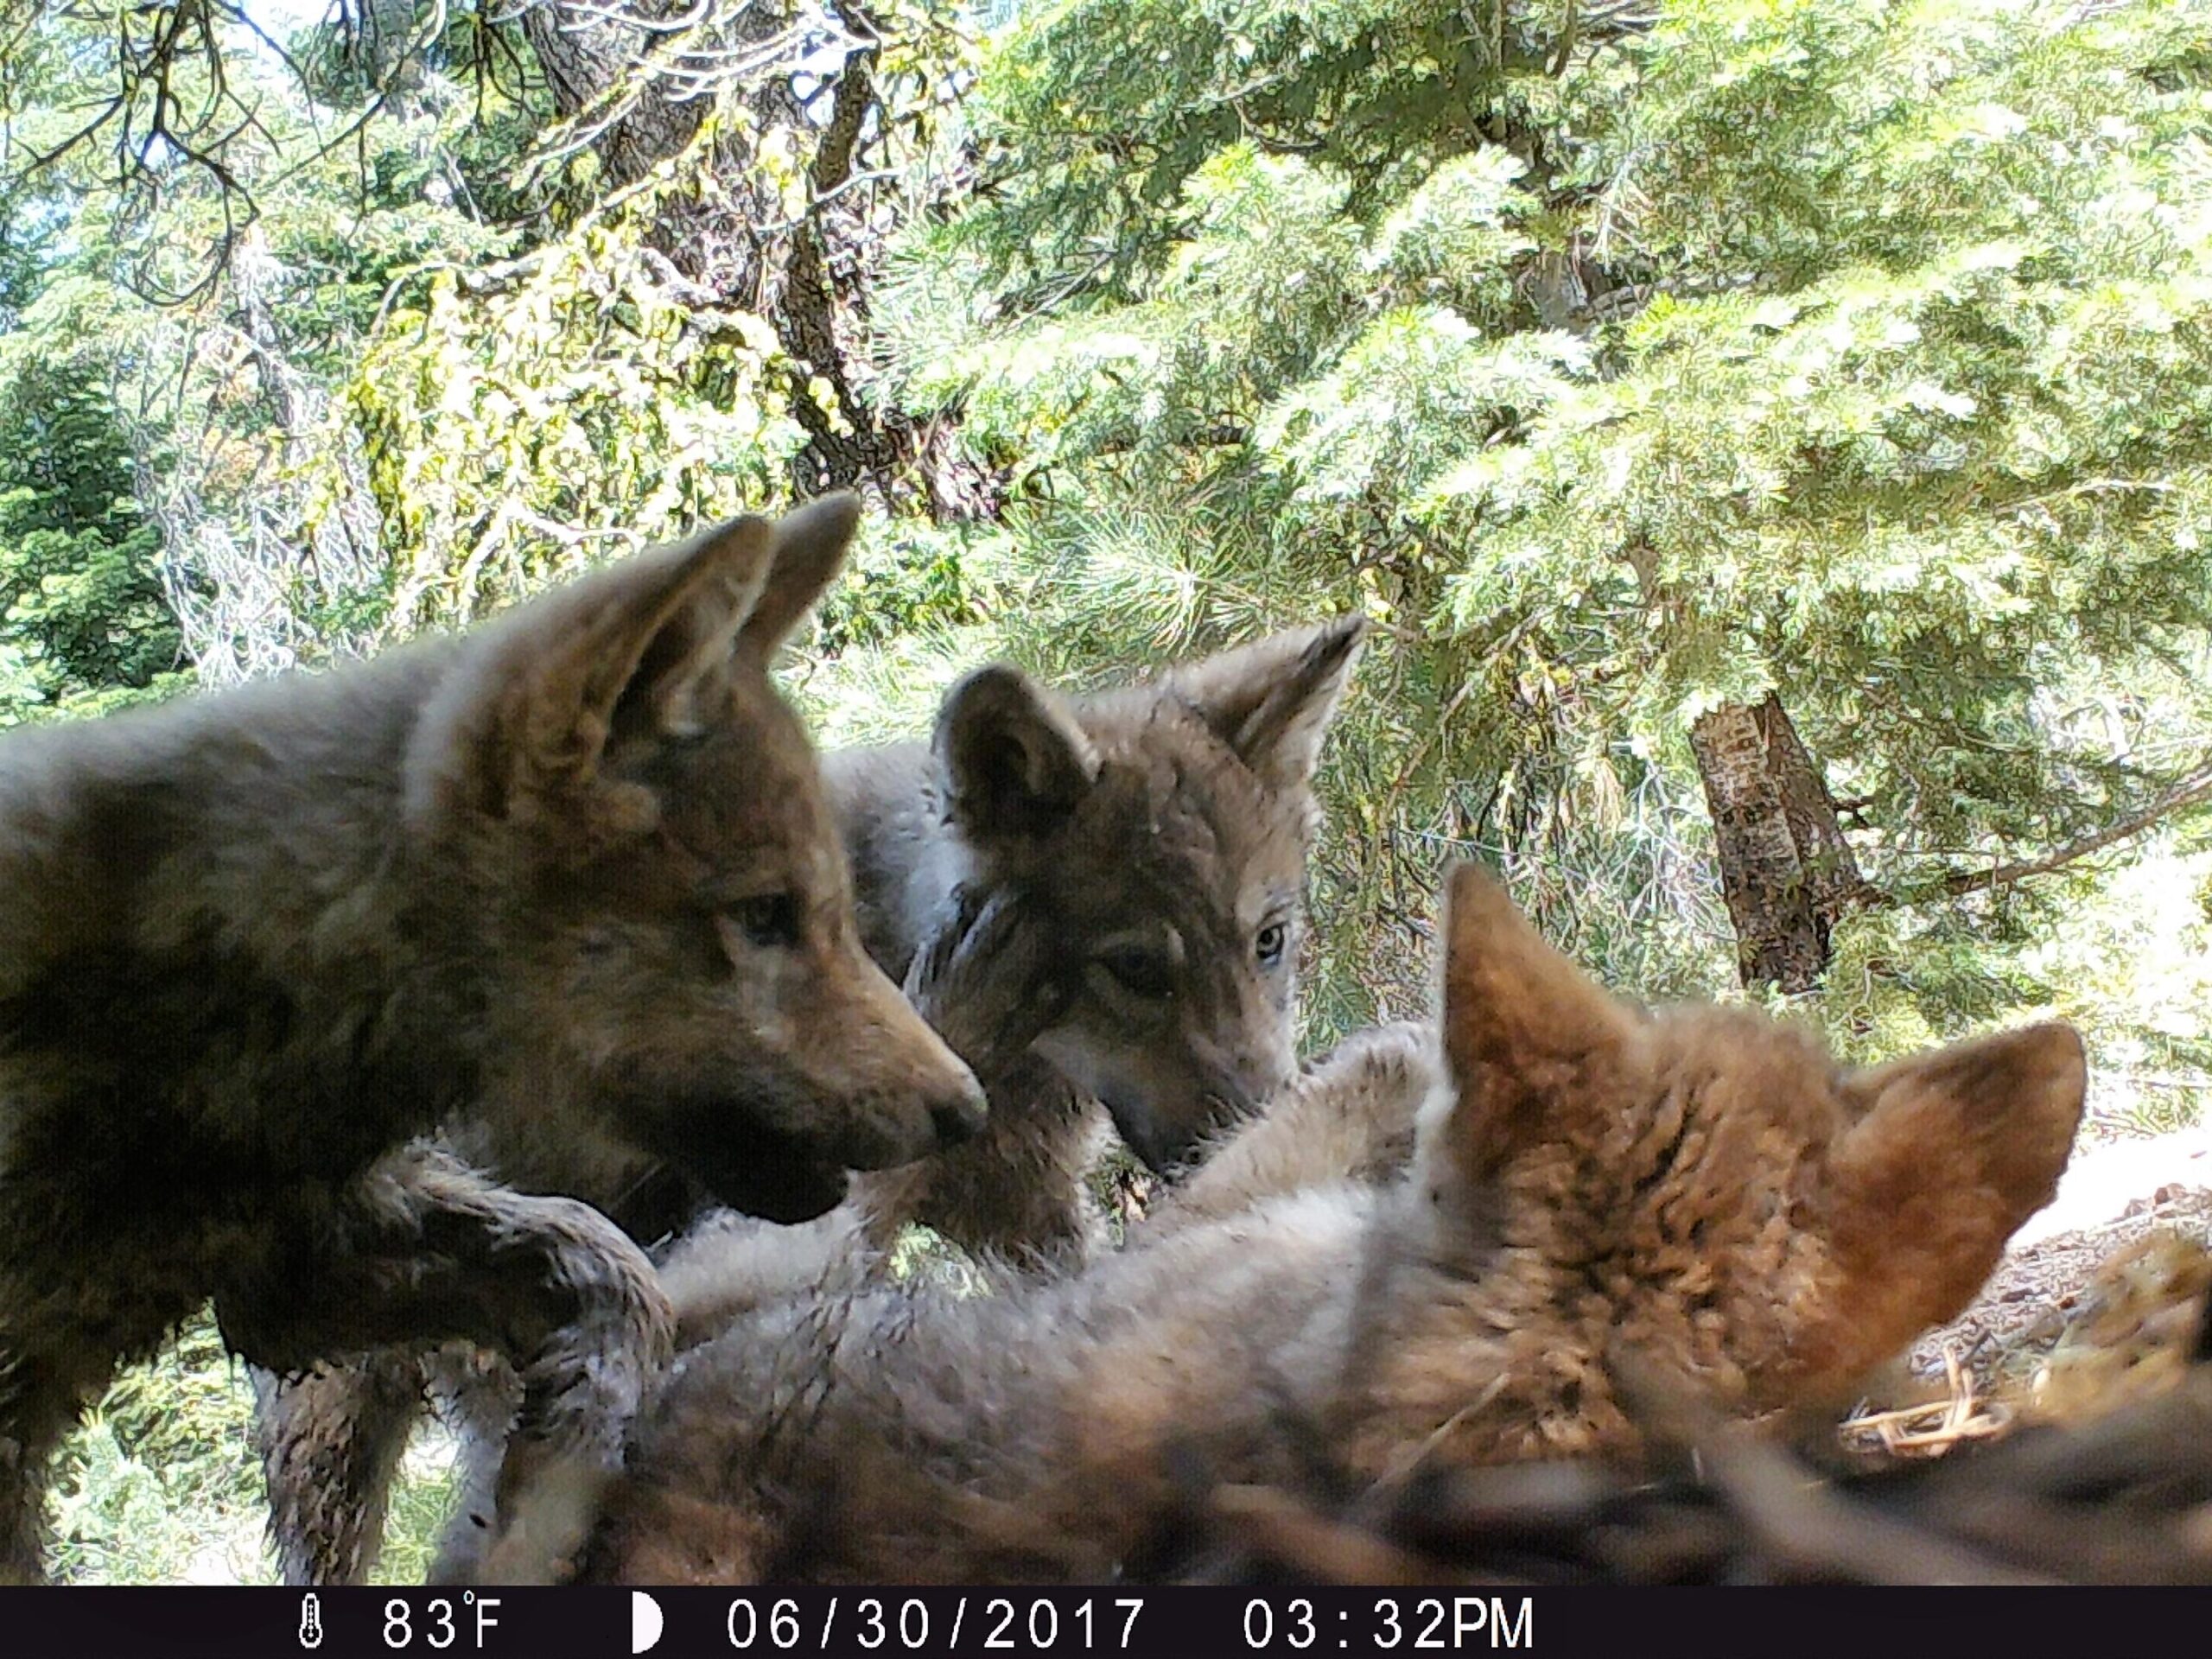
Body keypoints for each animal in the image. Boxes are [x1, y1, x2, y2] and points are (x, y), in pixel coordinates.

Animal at [0, 494, 986, 1583]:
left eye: (838, 912)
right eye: (765, 916)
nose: (967, 1109)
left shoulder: (304, 1265)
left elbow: (614, 1278)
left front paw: (537, 1494)